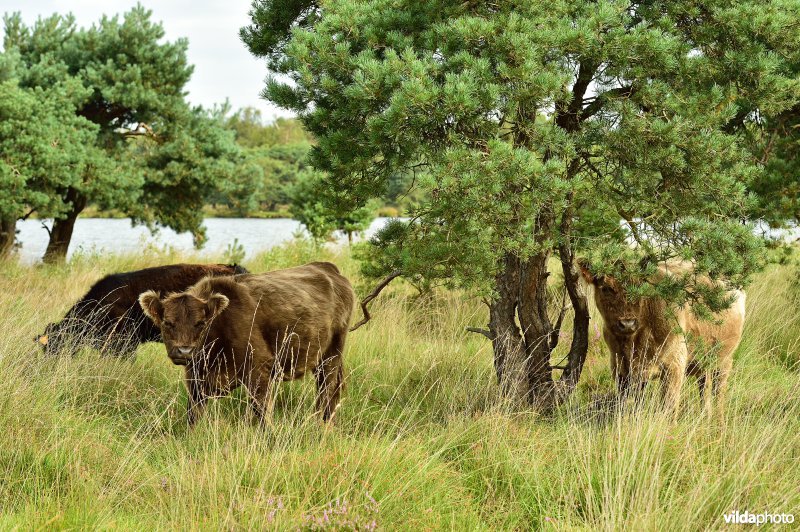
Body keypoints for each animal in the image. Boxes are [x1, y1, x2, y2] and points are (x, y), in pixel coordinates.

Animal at [139, 262, 354, 424]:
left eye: (201, 323)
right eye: (167, 323)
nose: (184, 351)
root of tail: (327, 268)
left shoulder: (259, 370)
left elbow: (261, 413)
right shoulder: (196, 378)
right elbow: (193, 414)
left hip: (332, 354)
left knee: (326, 391)